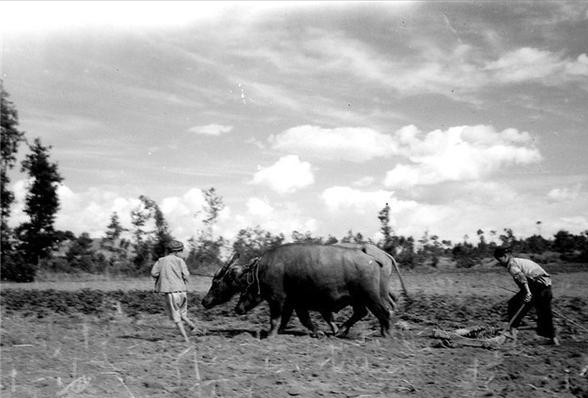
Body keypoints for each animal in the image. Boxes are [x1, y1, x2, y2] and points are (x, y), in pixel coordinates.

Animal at [234, 244, 400, 338]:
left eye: (244, 288)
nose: (237, 309)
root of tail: (372, 258)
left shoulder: (278, 300)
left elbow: (277, 319)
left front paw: (270, 335)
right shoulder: (294, 303)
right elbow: (293, 319)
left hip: (371, 297)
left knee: (384, 312)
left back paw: (387, 333)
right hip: (359, 300)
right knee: (363, 313)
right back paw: (342, 330)